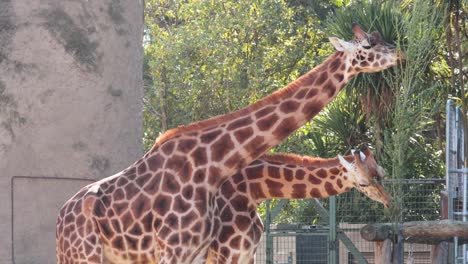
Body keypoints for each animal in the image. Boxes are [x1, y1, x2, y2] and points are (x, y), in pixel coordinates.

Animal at [208, 147, 392, 262]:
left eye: (381, 173)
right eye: (363, 183)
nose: (388, 200)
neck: (249, 193)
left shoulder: (248, 253)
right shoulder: (226, 253)